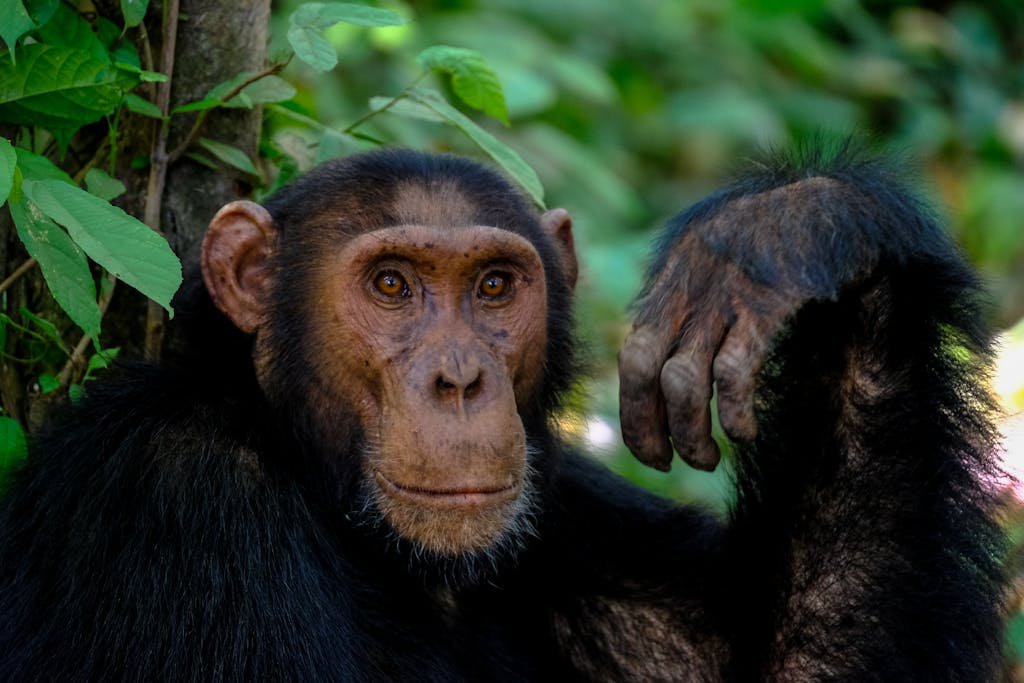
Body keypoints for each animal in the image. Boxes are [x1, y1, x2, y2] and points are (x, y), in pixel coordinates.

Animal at [0, 143, 1003, 679]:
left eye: (493, 286)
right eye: (391, 285)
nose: (459, 377)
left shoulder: (572, 517)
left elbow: (798, 663)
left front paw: (789, 232)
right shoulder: (181, 500)